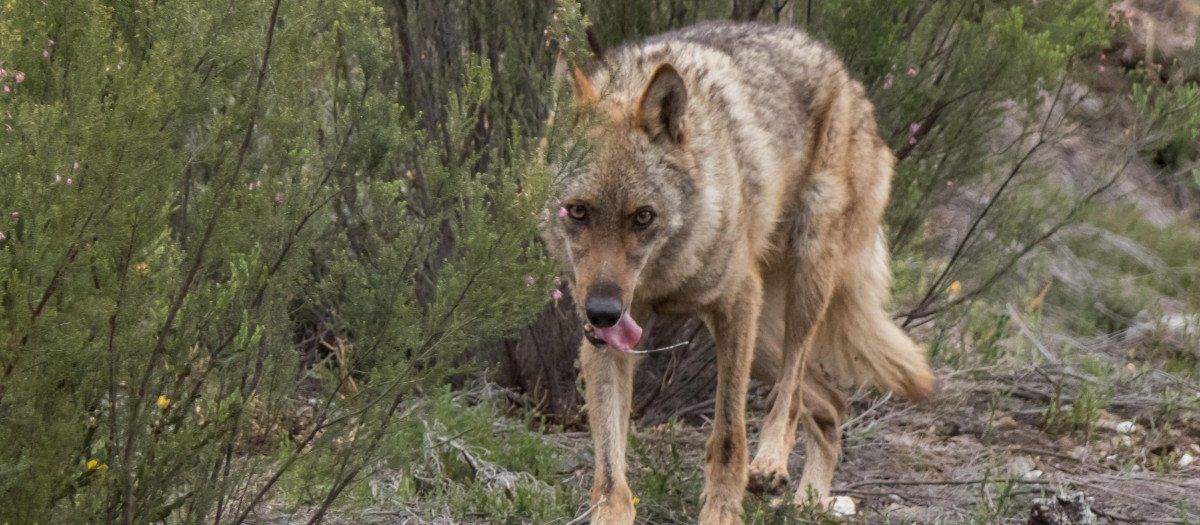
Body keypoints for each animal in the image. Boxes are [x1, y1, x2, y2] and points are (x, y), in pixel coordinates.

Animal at [542, 21, 936, 525]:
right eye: (578, 211)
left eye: (643, 217)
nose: (603, 311)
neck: (663, 277)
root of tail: (848, 79)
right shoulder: (606, 345)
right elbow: (611, 477)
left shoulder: (736, 304)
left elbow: (728, 437)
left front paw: (723, 510)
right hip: (763, 339)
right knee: (831, 402)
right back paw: (809, 502)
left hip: (801, 289)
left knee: (791, 393)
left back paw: (771, 465)